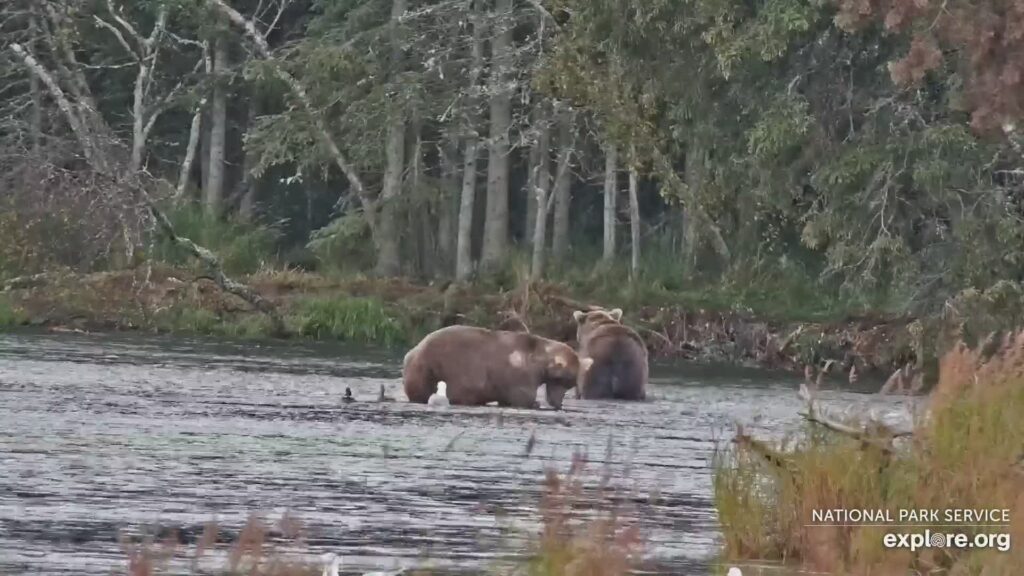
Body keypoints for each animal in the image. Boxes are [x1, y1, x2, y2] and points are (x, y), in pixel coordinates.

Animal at [401, 323, 593, 407]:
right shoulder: (518, 372)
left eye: (569, 384)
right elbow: (522, 395)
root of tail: (412, 350)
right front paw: (535, 403)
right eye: (565, 380)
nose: (557, 403)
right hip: (429, 367)